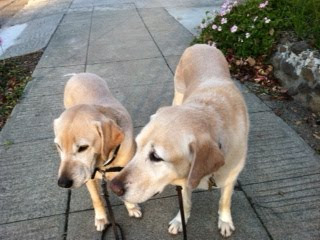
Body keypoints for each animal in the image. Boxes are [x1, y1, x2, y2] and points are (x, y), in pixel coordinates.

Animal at [53, 72, 141, 231]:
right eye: (58, 146)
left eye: (83, 147)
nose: (63, 183)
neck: (104, 163)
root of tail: (79, 74)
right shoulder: (89, 178)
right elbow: (96, 199)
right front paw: (101, 219)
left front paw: (131, 207)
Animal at [110, 44, 250, 237]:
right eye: (137, 147)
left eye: (156, 156)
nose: (113, 187)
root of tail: (202, 44)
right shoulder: (183, 182)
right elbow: (185, 203)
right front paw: (180, 221)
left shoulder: (231, 177)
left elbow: (224, 201)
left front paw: (225, 221)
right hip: (178, 95)